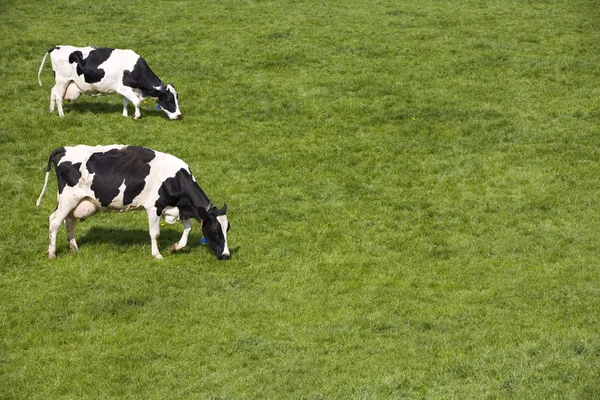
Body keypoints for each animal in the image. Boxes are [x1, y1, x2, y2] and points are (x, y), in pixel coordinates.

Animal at [35, 145, 230, 260]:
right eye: (215, 230)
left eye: (227, 228)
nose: (226, 255)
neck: (176, 179)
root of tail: (64, 149)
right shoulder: (154, 207)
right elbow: (155, 233)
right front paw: (157, 254)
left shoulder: (176, 207)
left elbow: (188, 227)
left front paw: (176, 247)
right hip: (68, 198)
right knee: (55, 221)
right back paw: (52, 253)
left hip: (77, 202)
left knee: (69, 221)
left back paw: (74, 248)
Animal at [37, 46, 182, 119]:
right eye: (170, 99)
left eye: (177, 97)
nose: (179, 115)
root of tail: (57, 47)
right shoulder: (123, 87)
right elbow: (136, 102)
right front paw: (136, 116)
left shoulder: (129, 88)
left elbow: (126, 101)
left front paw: (125, 115)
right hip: (63, 79)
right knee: (58, 96)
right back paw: (61, 115)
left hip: (61, 81)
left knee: (53, 91)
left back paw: (51, 110)